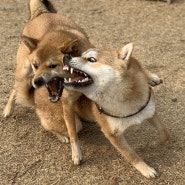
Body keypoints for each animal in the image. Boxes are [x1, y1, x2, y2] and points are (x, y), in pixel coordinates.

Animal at [3, 0, 94, 142]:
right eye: (35, 65)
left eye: (53, 66)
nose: (37, 82)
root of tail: (41, 13)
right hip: (23, 71)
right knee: (15, 87)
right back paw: (8, 110)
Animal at [61, 43, 170, 178]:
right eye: (82, 56)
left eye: (91, 59)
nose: (66, 56)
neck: (124, 98)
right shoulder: (112, 135)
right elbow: (131, 155)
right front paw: (145, 169)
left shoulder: (150, 111)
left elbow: (165, 133)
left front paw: (156, 144)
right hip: (70, 108)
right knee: (72, 132)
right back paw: (76, 152)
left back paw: (151, 77)